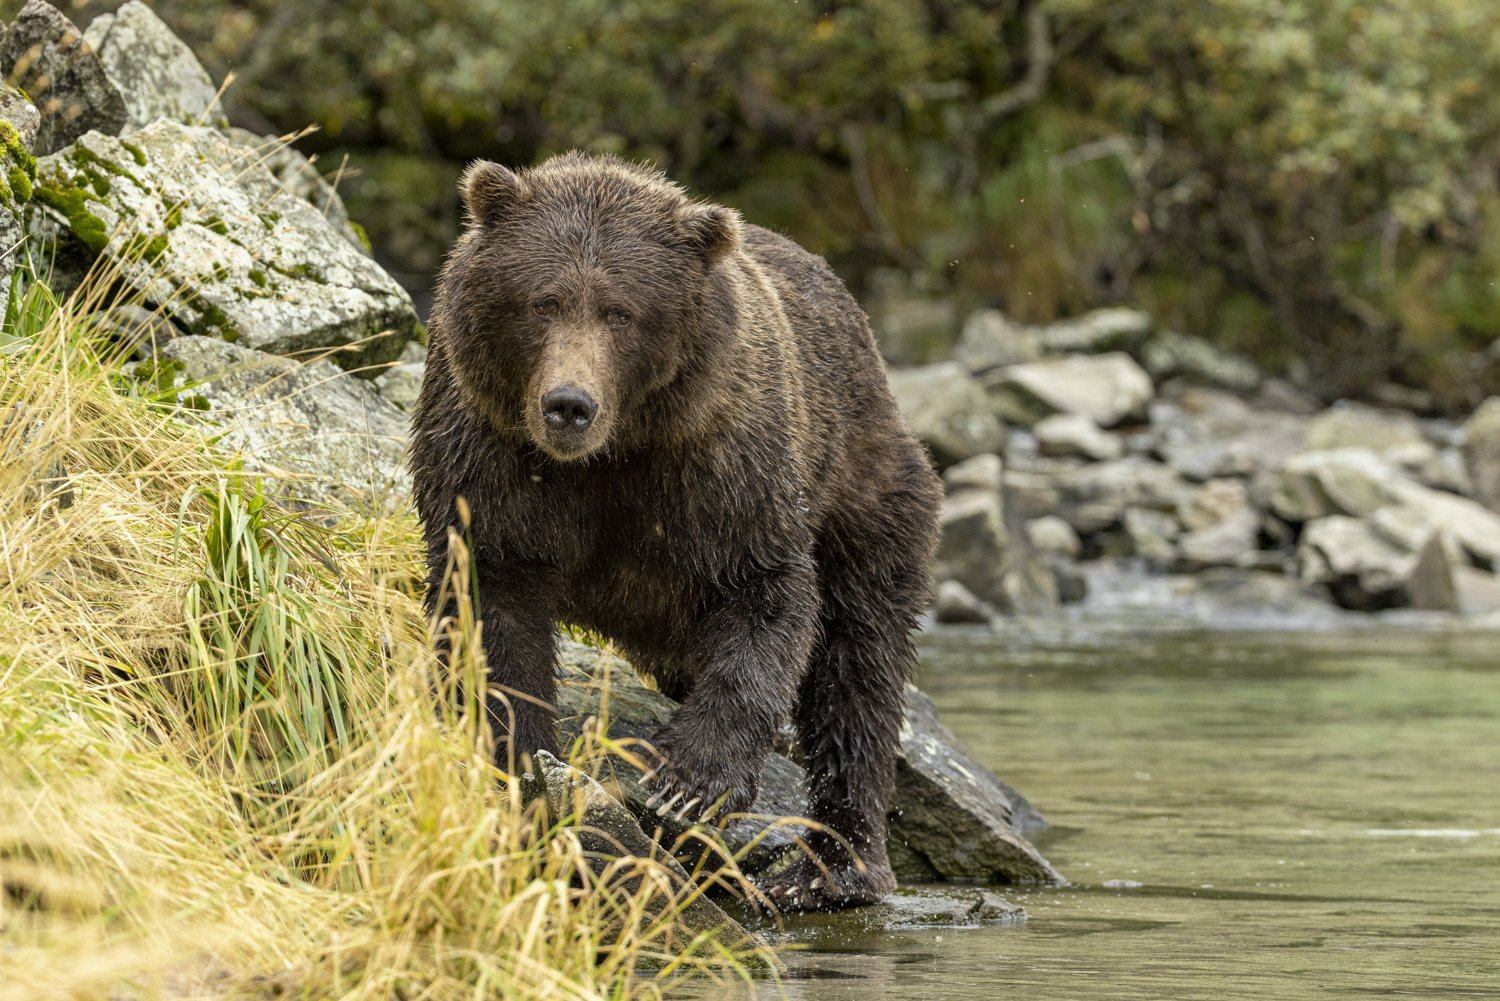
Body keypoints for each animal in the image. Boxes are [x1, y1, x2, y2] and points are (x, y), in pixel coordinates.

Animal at [409, 152, 941, 911]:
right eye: (543, 301)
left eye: (620, 312)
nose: (568, 404)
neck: (609, 456)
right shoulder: (489, 459)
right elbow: (492, 609)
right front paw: (519, 760)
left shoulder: (720, 470)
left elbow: (764, 600)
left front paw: (684, 783)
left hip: (865, 487)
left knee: (859, 663)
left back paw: (831, 865)